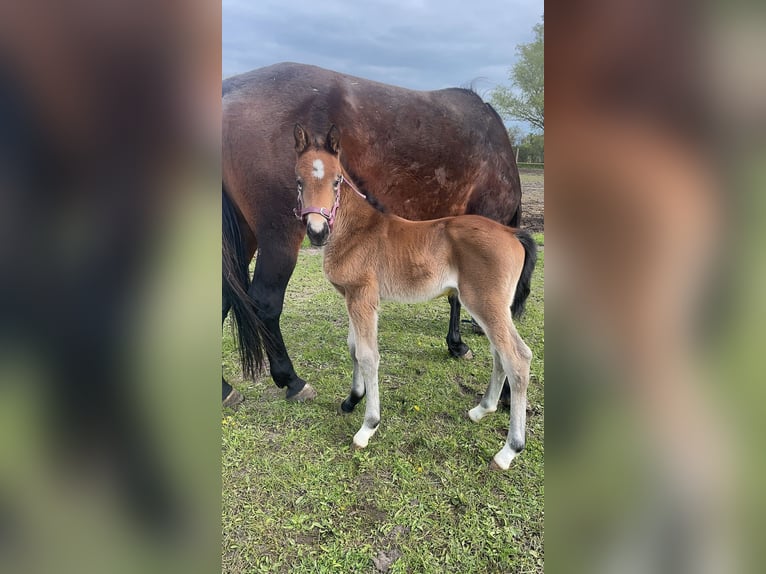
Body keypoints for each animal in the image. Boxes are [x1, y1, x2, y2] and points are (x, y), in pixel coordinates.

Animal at [222, 62, 520, 404]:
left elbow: (454, 294)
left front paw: (456, 344)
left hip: (245, 236)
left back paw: (225, 389)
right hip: (279, 238)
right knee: (266, 302)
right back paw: (292, 380)